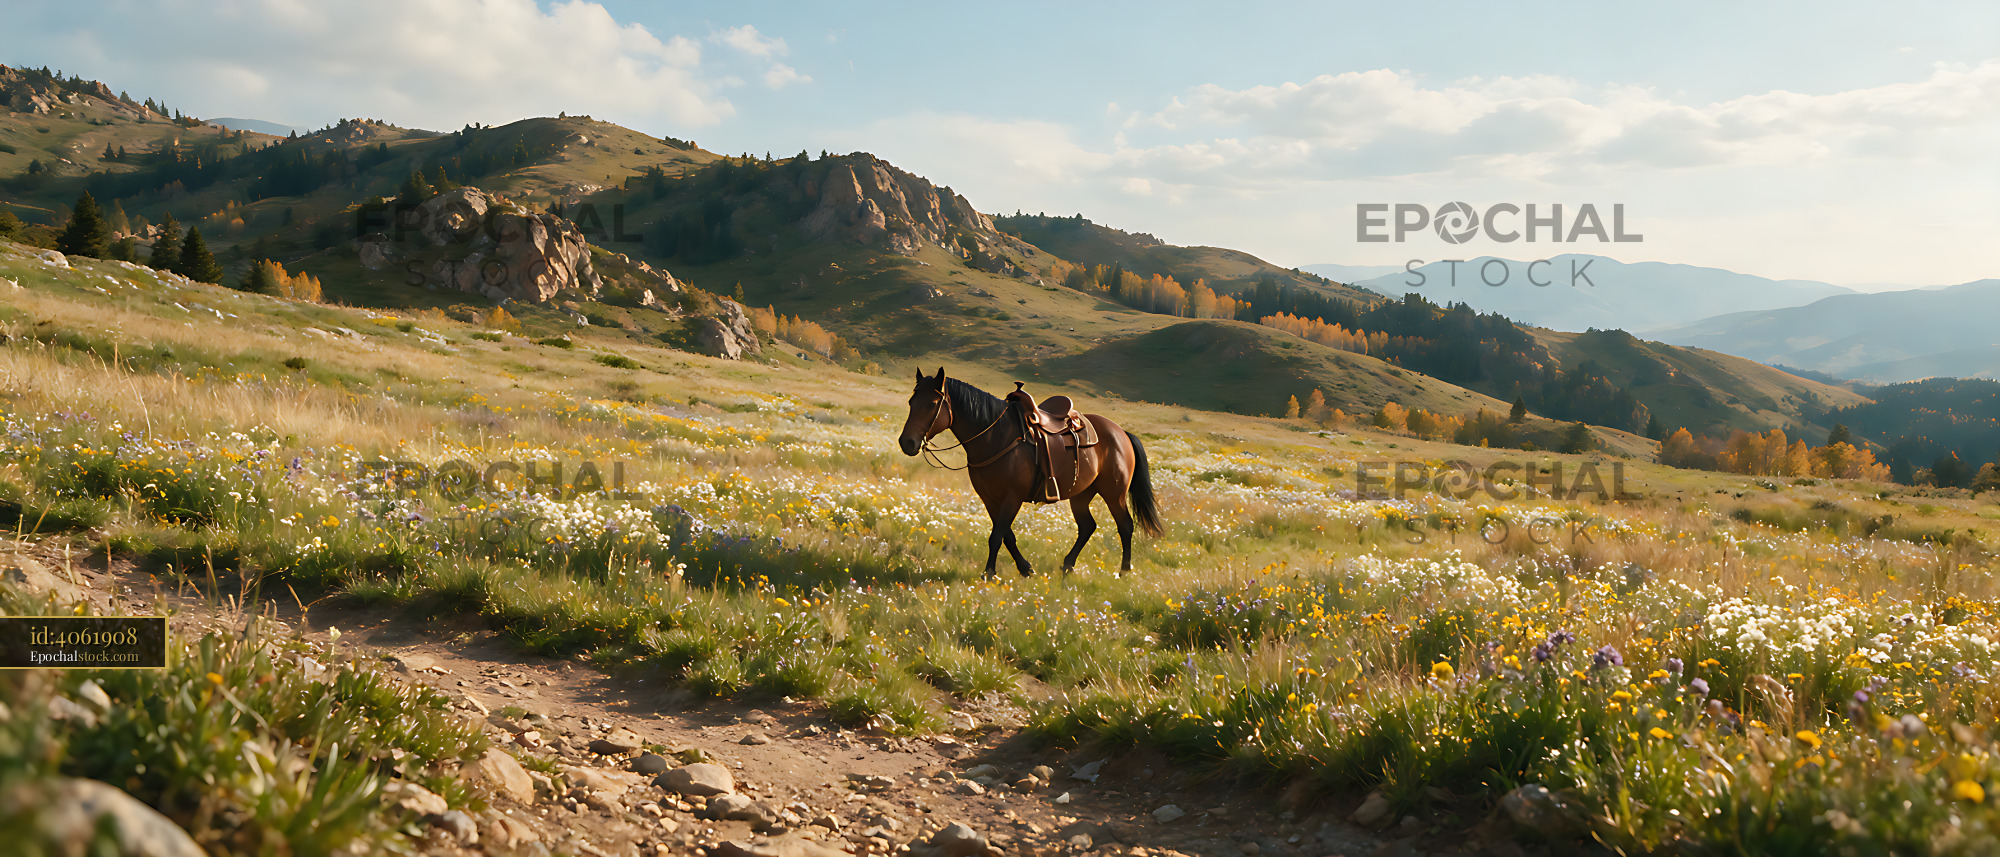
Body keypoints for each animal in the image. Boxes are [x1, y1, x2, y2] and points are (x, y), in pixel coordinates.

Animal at [897, 367, 1163, 577]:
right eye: (911, 402)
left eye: (932, 404)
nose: (907, 443)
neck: (996, 437)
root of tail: (1121, 432)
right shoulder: (990, 498)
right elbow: (1006, 535)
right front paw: (1025, 568)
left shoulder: (1012, 497)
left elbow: (997, 535)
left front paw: (989, 573)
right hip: (1081, 494)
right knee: (1088, 526)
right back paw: (1068, 565)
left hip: (1114, 493)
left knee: (1125, 525)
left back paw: (1124, 570)